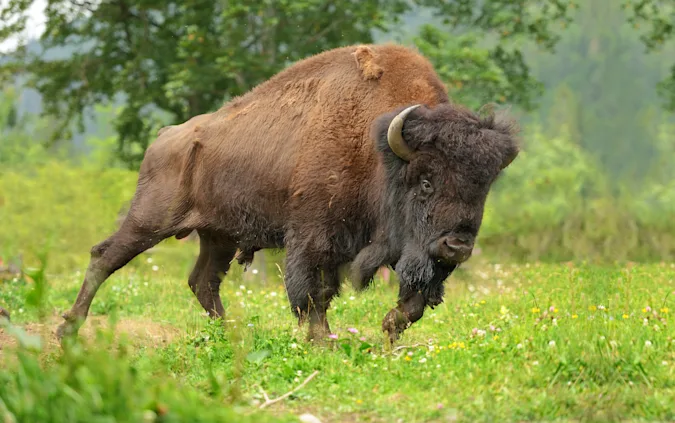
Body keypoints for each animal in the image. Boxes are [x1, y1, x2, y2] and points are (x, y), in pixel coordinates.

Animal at [56, 44, 519, 344]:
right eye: (426, 181)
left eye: (482, 187)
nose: (458, 246)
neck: (378, 148)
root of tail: (167, 136)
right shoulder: (314, 237)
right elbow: (313, 293)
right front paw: (323, 341)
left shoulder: (412, 252)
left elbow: (412, 302)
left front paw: (386, 332)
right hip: (150, 219)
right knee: (105, 257)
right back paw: (67, 328)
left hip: (218, 235)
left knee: (203, 282)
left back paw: (233, 334)